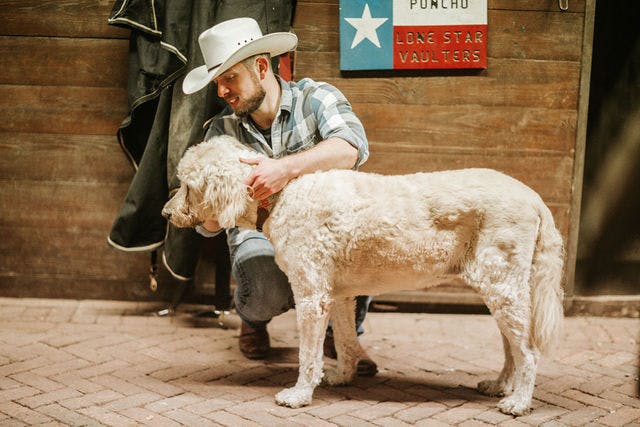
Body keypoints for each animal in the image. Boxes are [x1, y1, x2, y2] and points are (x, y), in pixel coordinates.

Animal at [164, 135, 564, 416]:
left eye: (188, 186)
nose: (166, 213)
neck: (281, 196)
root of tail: (534, 197)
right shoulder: (338, 295)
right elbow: (342, 340)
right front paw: (343, 376)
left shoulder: (310, 295)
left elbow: (308, 355)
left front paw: (300, 394)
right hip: (502, 292)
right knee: (512, 349)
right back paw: (500, 387)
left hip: (503, 288)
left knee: (528, 353)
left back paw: (519, 402)